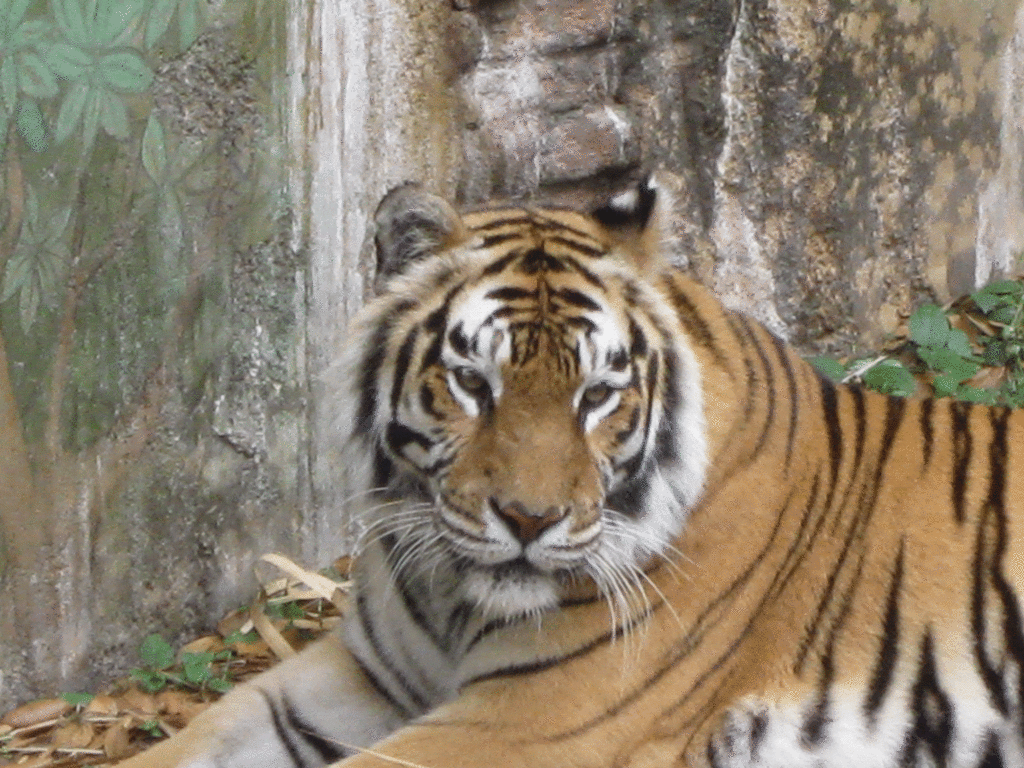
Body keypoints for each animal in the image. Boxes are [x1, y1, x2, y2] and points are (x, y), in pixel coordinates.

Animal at [121, 174, 1024, 768]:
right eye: (473, 383)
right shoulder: (370, 674)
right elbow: (198, 735)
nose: (530, 521)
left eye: (597, 396)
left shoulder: (529, 722)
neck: (451, 597)